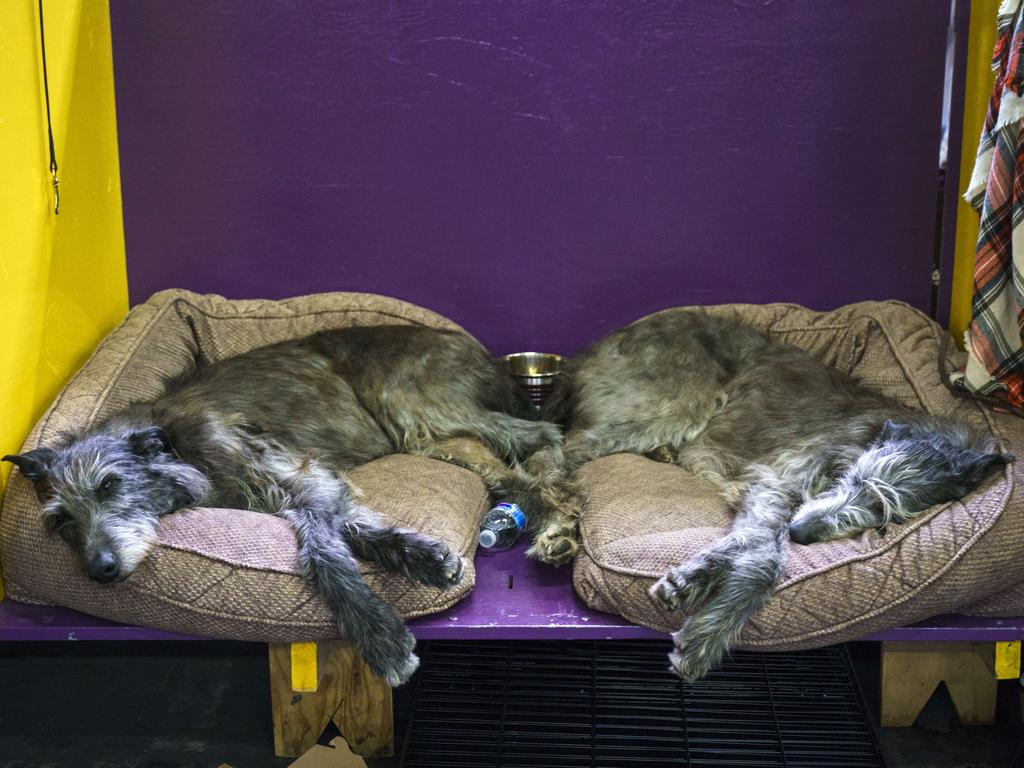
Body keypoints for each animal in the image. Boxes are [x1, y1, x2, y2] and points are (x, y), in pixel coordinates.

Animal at [4, 325, 561, 684]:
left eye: (110, 485)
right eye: (62, 521)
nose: (101, 569)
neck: (175, 444)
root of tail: (479, 349)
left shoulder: (293, 474)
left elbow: (319, 550)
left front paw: (380, 635)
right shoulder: (301, 484)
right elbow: (345, 529)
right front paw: (421, 558)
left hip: (415, 405)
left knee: (543, 433)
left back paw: (555, 520)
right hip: (432, 436)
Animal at [536, 309, 1007, 684]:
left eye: (885, 513)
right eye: (853, 478)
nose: (801, 532)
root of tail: (589, 352)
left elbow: (757, 542)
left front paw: (700, 593)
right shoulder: (781, 476)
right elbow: (766, 553)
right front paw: (706, 625)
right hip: (673, 402)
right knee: (554, 451)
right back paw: (558, 529)